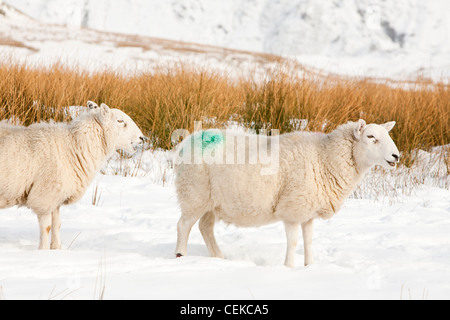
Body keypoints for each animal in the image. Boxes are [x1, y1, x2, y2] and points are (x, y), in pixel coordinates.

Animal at [0, 102, 143, 250]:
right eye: (120, 121)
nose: (142, 138)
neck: (72, 146)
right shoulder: (44, 196)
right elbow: (47, 227)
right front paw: (43, 251)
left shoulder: (56, 197)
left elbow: (57, 224)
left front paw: (57, 248)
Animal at [175, 120, 400, 268]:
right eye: (371, 137)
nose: (396, 156)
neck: (323, 157)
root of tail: (188, 141)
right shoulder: (293, 208)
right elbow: (293, 242)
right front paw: (289, 269)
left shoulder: (308, 211)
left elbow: (309, 241)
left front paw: (310, 267)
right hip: (193, 192)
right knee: (184, 225)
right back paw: (181, 256)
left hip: (211, 201)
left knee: (205, 227)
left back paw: (219, 258)